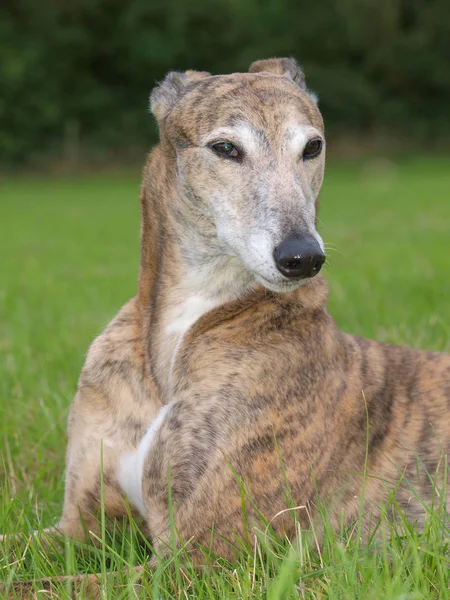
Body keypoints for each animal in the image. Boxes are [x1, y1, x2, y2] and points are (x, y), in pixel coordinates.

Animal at [2, 58, 450, 592]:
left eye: (312, 146)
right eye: (225, 148)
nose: (302, 258)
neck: (182, 334)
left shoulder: (201, 560)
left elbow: (37, 584)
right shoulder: (80, 524)